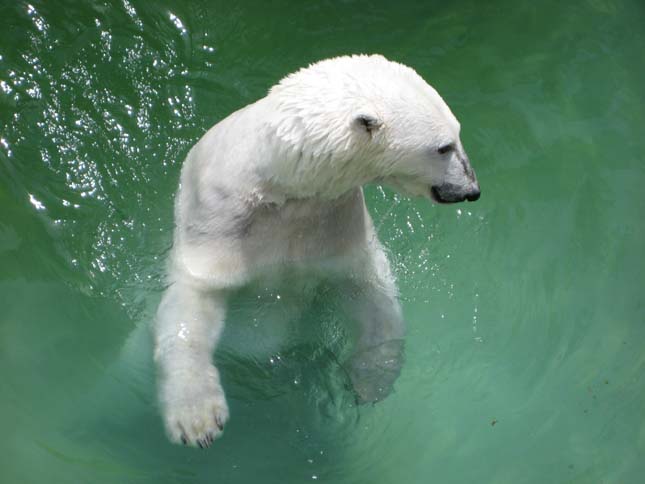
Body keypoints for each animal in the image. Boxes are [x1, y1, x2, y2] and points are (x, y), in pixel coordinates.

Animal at [155, 54, 478, 448]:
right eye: (444, 147)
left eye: (458, 133)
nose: (471, 190)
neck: (282, 188)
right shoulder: (219, 220)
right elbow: (193, 300)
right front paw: (197, 421)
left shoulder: (334, 221)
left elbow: (370, 291)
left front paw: (368, 381)